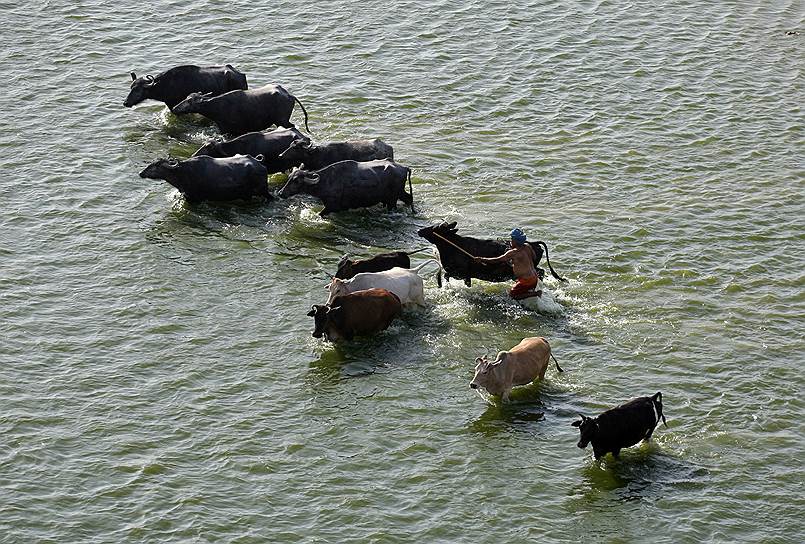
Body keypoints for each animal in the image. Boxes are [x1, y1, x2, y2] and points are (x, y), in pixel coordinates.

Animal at [141, 154, 270, 203]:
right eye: (152, 163)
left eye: (157, 165)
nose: (141, 173)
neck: (183, 173)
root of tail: (259, 164)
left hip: (264, 191)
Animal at [171, 85, 310, 137]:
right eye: (186, 98)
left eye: (190, 101)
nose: (174, 108)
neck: (217, 107)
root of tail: (289, 95)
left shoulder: (228, 131)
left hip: (282, 120)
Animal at [278, 158, 414, 216]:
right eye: (289, 177)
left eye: (296, 181)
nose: (280, 193)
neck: (327, 180)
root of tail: (404, 167)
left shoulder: (332, 207)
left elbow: (320, 214)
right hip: (399, 193)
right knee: (409, 198)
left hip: (393, 199)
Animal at [418, 222, 564, 286]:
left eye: (436, 228)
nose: (420, 230)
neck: (452, 247)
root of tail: (532, 243)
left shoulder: (460, 272)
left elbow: (445, 276)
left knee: (540, 272)